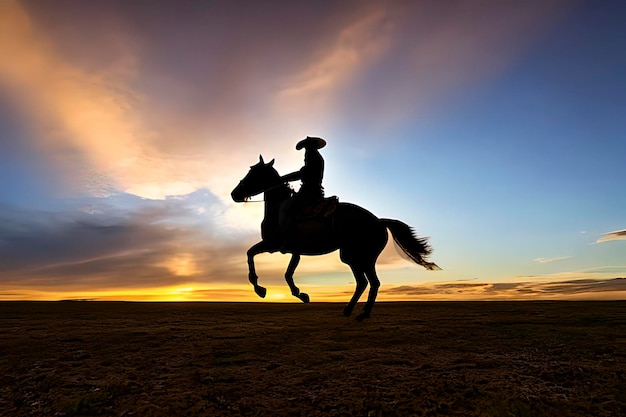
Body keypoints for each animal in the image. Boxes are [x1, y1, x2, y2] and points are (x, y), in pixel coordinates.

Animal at [230, 154, 438, 320]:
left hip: (362, 258)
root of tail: (379, 221)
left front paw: (261, 290)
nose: (234, 194)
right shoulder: (292, 251)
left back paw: (363, 314)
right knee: (363, 282)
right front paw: (300, 294)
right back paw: (349, 310)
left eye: (253, 173)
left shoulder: (274, 245)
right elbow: (285, 272)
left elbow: (254, 256)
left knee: (372, 282)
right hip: (352, 258)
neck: (278, 208)